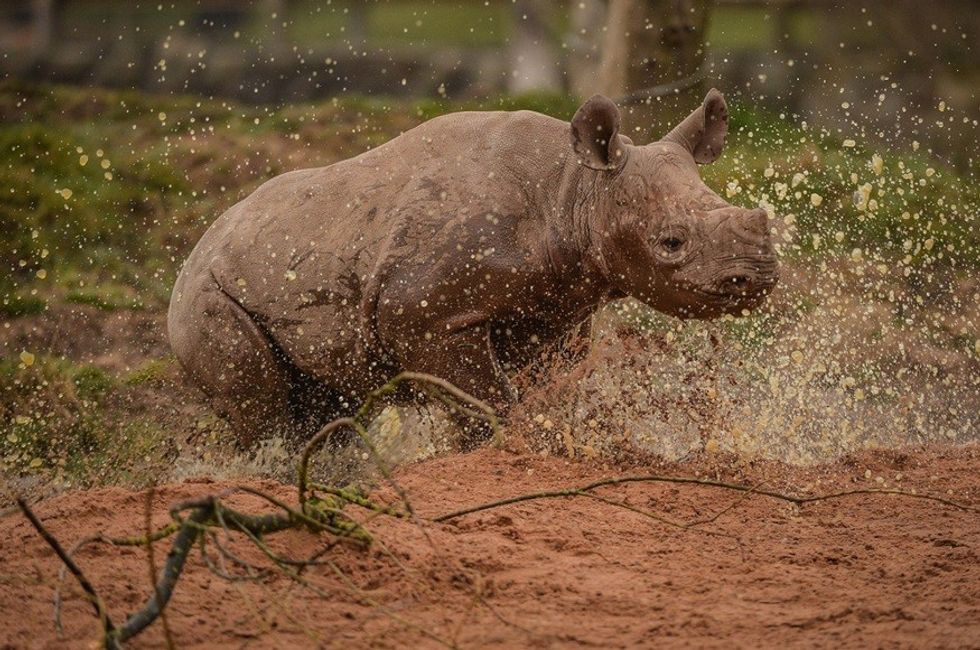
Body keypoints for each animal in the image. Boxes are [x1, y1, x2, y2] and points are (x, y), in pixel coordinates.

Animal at [168, 89, 778, 445]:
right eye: (671, 242)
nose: (758, 277)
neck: (575, 192)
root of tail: (194, 250)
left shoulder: (554, 314)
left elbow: (543, 390)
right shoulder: (425, 316)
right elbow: (485, 400)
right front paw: (498, 458)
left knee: (330, 405)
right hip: (204, 295)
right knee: (264, 406)